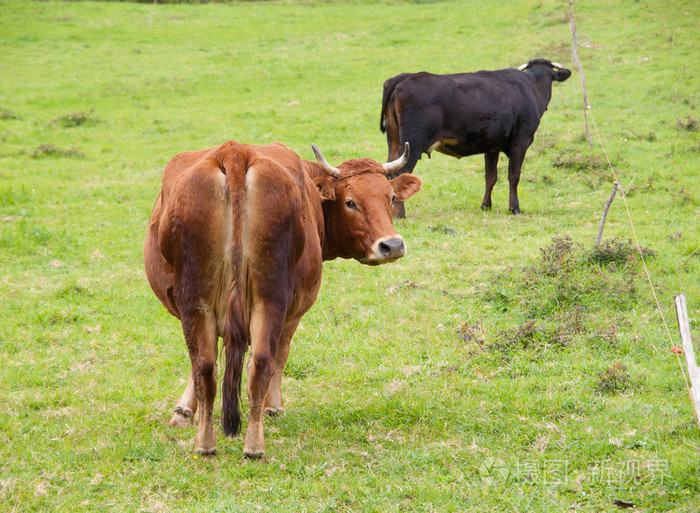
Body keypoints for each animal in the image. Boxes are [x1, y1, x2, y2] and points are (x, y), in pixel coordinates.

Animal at [142, 139, 422, 456]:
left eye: (390, 197)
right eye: (350, 202)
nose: (392, 245)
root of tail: (235, 152)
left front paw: (185, 411)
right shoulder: (295, 308)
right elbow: (280, 353)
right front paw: (273, 407)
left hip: (209, 302)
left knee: (216, 364)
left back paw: (213, 444)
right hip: (267, 300)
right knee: (258, 361)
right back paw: (250, 443)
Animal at [380, 59, 572, 217]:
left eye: (550, 77)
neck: (531, 85)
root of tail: (407, 76)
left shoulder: (492, 146)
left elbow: (491, 177)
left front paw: (486, 206)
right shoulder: (521, 141)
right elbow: (514, 176)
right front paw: (515, 208)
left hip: (396, 143)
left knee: (389, 171)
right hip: (413, 144)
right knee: (400, 173)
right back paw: (400, 214)